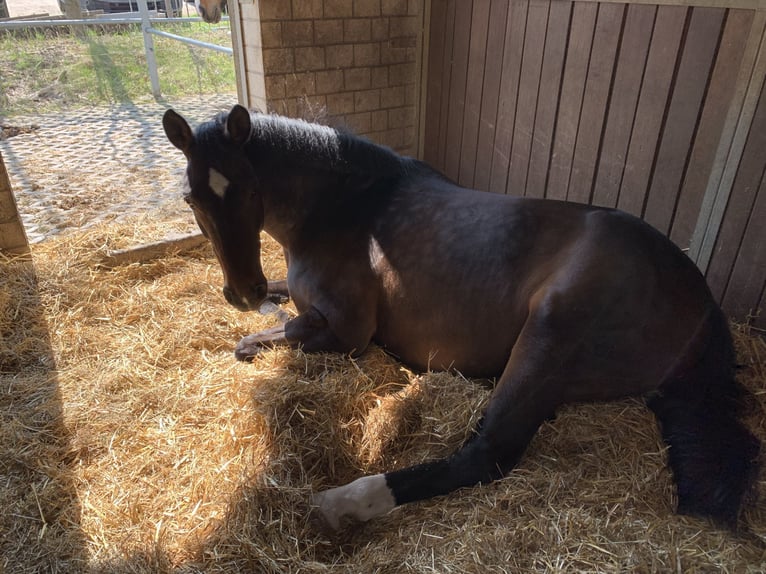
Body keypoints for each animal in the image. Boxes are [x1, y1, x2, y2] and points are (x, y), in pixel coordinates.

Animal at [162, 104, 760, 536]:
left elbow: (264, 337)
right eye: (192, 198)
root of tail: (701, 300)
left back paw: (343, 502)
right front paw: (263, 302)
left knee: (487, 454)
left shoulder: (346, 331)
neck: (346, 207)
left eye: (252, 190)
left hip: (549, 332)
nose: (241, 291)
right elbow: (280, 306)